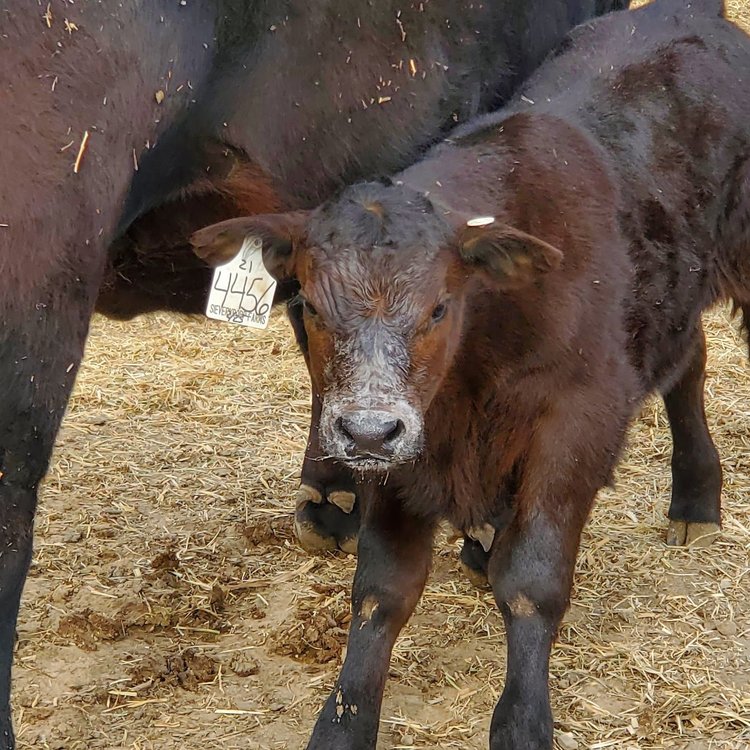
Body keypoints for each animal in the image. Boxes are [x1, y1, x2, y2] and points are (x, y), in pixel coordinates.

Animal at [192, 0, 748, 747]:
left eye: (438, 307)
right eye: (306, 303)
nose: (366, 430)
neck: (473, 373)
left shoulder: (576, 422)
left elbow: (533, 580)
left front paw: (523, 722)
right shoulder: (403, 447)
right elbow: (382, 589)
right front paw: (342, 720)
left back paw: (693, 502)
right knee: (687, 362)